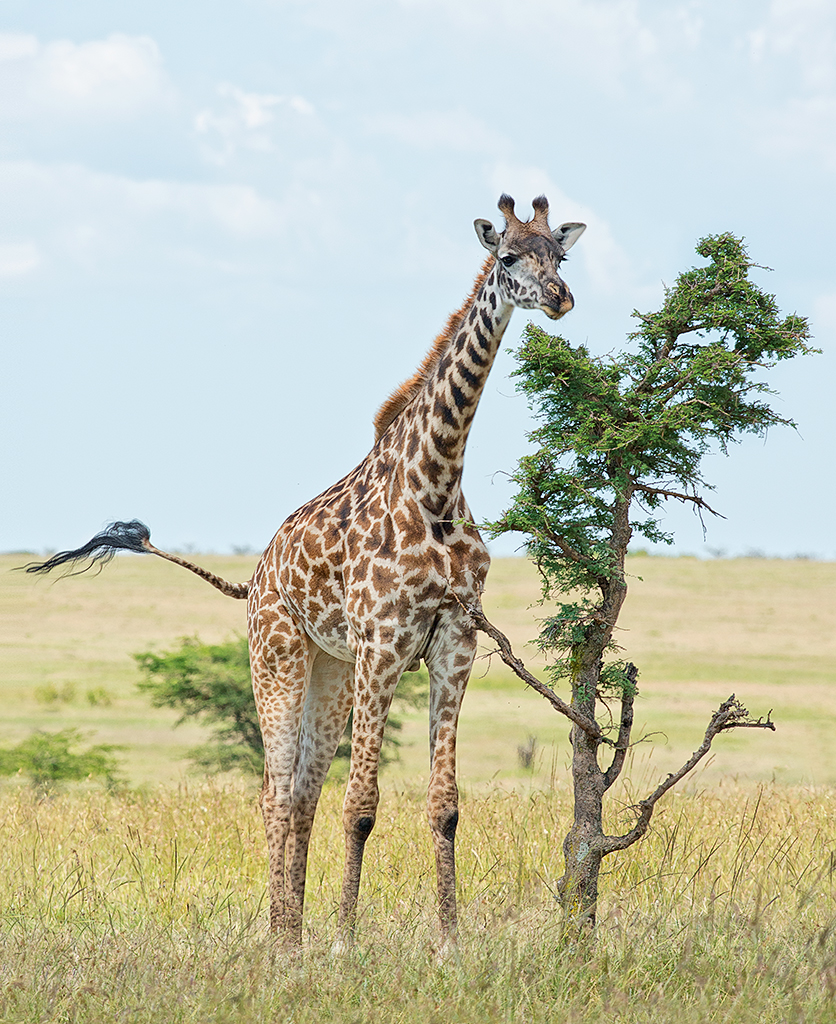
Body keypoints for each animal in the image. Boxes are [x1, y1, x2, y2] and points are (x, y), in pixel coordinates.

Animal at [27, 193, 586, 950]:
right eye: (507, 257)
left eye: (560, 255)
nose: (559, 298)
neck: (437, 485)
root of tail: (255, 576)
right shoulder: (383, 642)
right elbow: (363, 804)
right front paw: (347, 942)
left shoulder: (454, 642)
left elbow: (443, 805)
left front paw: (449, 944)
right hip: (279, 657)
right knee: (274, 789)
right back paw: (279, 938)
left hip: (331, 670)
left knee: (301, 791)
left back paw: (293, 939)